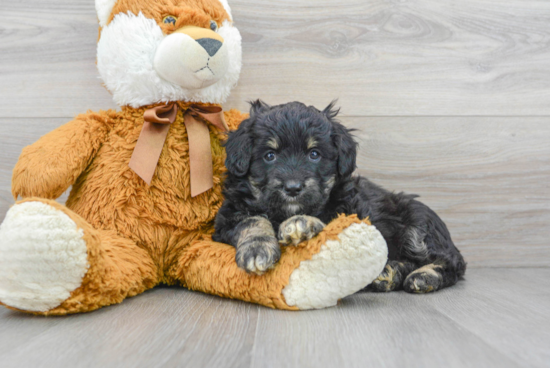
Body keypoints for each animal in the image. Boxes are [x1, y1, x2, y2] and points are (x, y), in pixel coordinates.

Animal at [213, 100, 468, 294]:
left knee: (453, 262)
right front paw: (257, 248)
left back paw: (423, 276)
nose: (293, 188)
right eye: (269, 155)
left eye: (314, 154)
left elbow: (326, 220)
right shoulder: (228, 216)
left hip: (418, 225)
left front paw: (300, 224)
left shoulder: (349, 213)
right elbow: (252, 220)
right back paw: (389, 272)